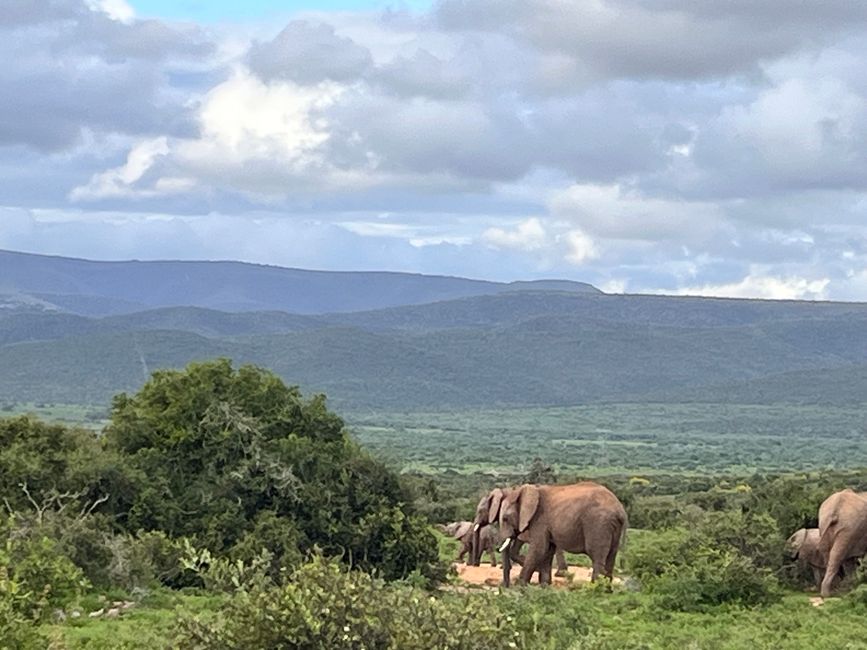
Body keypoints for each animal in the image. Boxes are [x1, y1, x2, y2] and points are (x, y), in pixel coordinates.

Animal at [498, 478, 628, 584]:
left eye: (505, 518)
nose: (505, 586)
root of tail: (620, 510)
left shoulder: (540, 519)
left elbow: (539, 549)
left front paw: (520, 587)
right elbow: (548, 550)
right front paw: (544, 587)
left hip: (598, 524)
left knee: (597, 557)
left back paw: (596, 591)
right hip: (612, 528)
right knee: (611, 556)